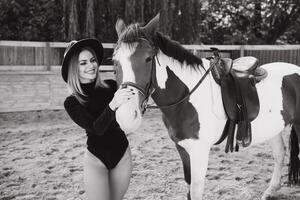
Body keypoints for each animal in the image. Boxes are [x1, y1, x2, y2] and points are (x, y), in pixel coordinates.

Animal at [112, 13, 300, 199]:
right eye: (115, 61)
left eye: (148, 58)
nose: (126, 116)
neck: (187, 96)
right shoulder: (183, 148)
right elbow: (189, 186)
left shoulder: (199, 150)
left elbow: (196, 189)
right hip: (275, 127)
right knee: (280, 153)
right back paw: (271, 190)